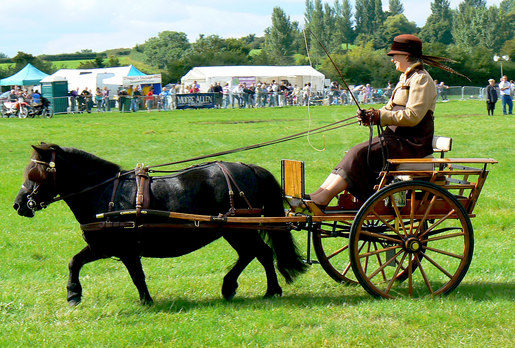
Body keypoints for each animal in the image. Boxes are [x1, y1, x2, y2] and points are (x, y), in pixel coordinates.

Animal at [14, 143, 306, 304]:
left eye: (34, 172)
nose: (18, 205)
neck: (105, 193)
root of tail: (249, 167)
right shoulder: (112, 248)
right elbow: (86, 264)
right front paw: (145, 299)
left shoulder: (112, 247)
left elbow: (84, 265)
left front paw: (73, 294)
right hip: (232, 230)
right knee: (251, 254)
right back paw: (230, 286)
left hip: (240, 229)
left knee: (262, 253)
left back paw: (270, 290)